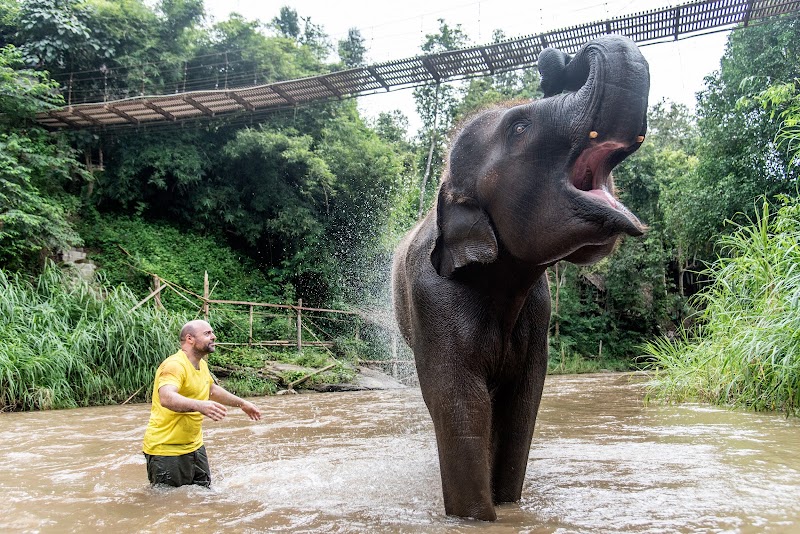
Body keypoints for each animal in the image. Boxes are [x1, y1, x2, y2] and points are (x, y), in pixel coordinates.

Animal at [391, 34, 649, 521]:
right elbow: (460, 406)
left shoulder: (538, 308)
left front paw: (509, 505)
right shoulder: (431, 300)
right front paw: (477, 518)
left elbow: (521, 405)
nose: (557, 61)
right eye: (519, 127)